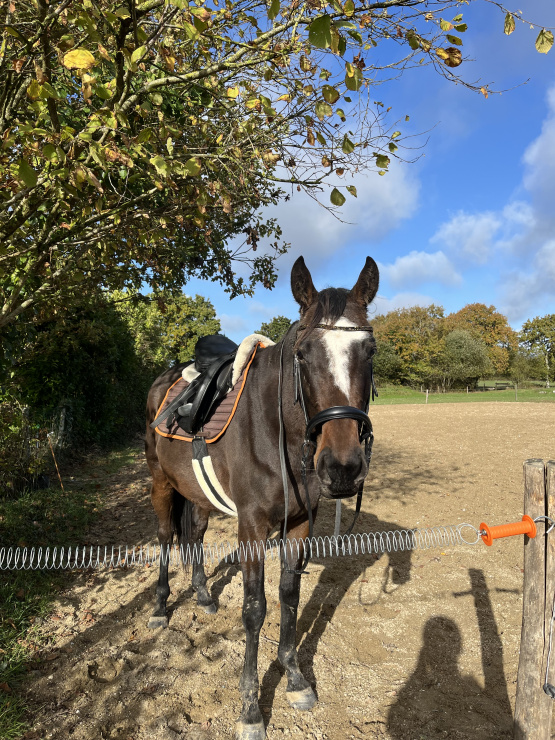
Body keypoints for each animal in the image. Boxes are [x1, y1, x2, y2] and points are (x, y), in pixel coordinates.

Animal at [144, 255, 379, 740]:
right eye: (303, 354)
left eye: (370, 351)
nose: (343, 468)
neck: (278, 435)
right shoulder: (251, 528)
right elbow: (255, 609)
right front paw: (251, 707)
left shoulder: (301, 524)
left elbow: (289, 596)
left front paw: (294, 678)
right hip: (161, 482)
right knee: (165, 536)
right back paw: (160, 606)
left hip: (197, 493)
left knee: (194, 533)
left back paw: (203, 596)